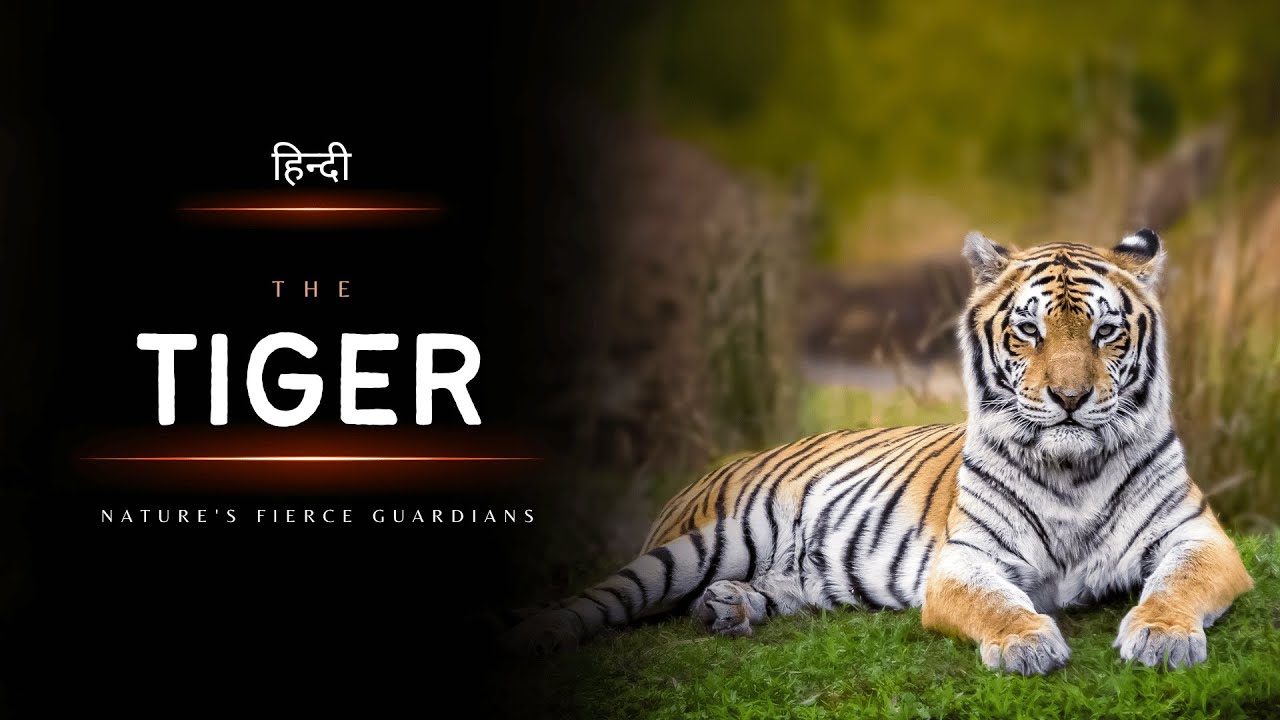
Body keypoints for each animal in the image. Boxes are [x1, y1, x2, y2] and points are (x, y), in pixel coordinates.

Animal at [504, 229, 1253, 675]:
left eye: (1105, 333)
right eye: (1029, 332)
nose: (1069, 397)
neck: (1074, 469)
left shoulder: (1199, 537)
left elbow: (1177, 584)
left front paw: (1162, 636)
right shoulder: (965, 560)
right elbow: (998, 603)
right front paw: (1026, 643)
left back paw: (728, 609)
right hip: (698, 546)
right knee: (605, 596)